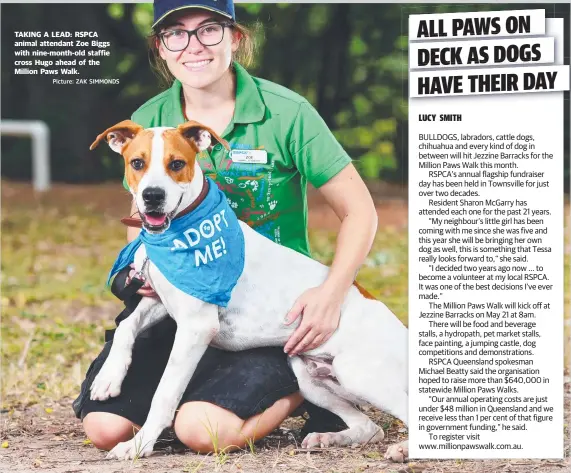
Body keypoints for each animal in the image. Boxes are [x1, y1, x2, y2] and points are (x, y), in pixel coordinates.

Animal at [88, 119, 412, 460]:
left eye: (176, 164)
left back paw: (402, 449)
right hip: (309, 378)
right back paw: (328, 438)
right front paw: (109, 377)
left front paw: (139, 444)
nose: (153, 196)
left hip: (358, 373)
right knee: (369, 427)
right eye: (137, 163)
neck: (180, 232)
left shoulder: (195, 327)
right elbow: (126, 325)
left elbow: (164, 393)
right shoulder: (161, 300)